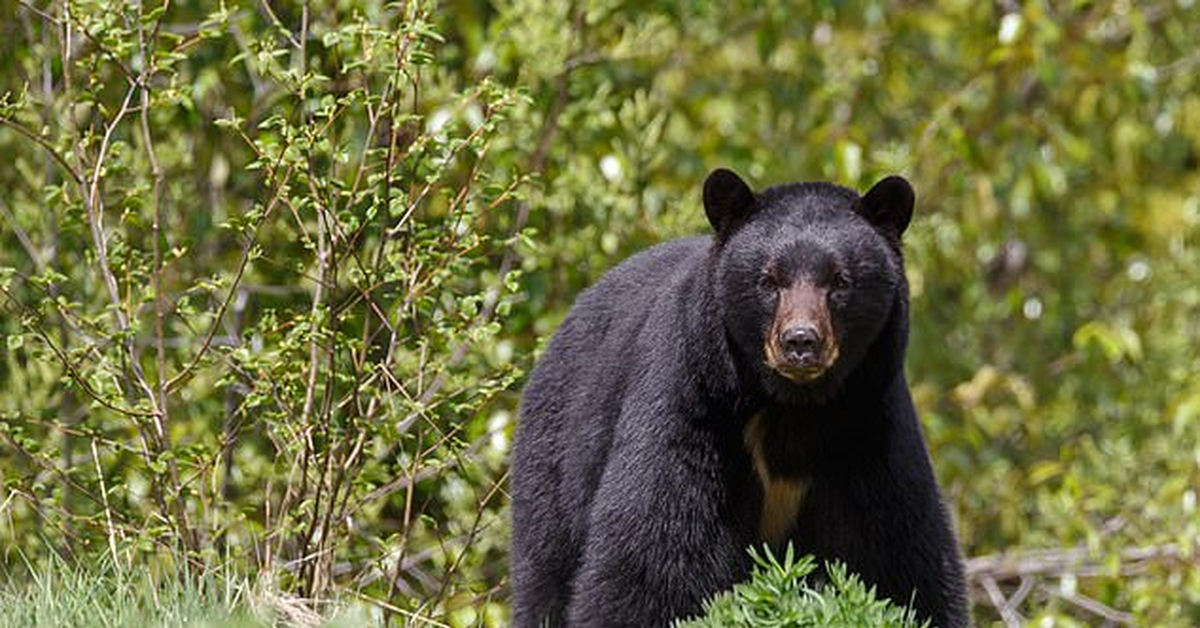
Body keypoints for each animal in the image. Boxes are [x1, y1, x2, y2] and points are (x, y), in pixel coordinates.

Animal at [511, 168, 969, 628]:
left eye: (840, 281)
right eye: (768, 281)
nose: (800, 342)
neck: (793, 407)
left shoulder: (867, 428)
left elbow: (897, 557)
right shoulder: (693, 405)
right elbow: (654, 553)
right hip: (556, 458)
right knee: (546, 571)